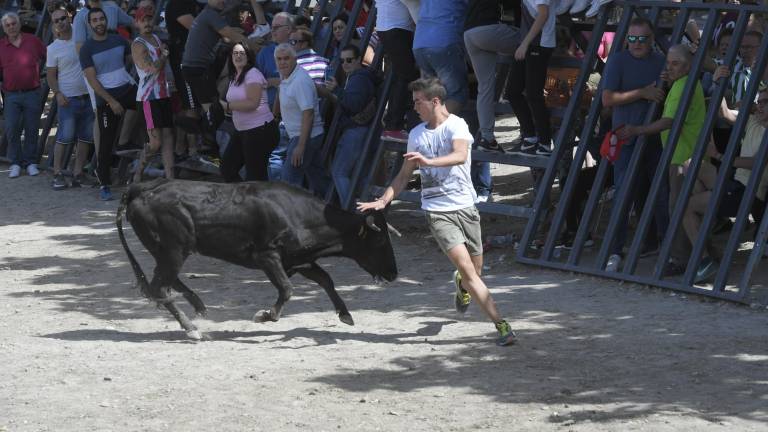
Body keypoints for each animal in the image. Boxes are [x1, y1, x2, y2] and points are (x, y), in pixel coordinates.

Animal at [118, 180, 402, 340]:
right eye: (379, 241)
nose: (393, 273)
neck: (297, 214)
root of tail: (140, 188)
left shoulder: (298, 260)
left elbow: (326, 280)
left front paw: (345, 314)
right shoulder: (267, 256)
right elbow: (287, 289)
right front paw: (265, 315)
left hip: (167, 251)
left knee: (163, 283)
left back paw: (198, 307)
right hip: (174, 250)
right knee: (160, 287)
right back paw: (192, 329)